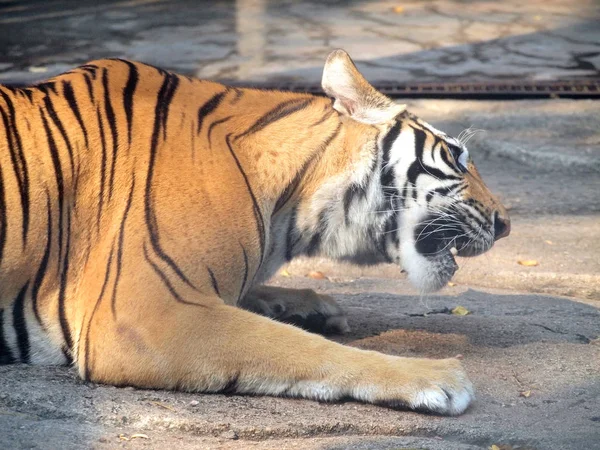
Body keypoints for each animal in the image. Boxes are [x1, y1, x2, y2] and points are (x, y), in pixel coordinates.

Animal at [0, 49, 510, 414]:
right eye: (458, 156)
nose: (506, 224)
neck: (293, 212)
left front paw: (310, 306)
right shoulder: (138, 314)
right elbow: (294, 347)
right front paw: (436, 377)